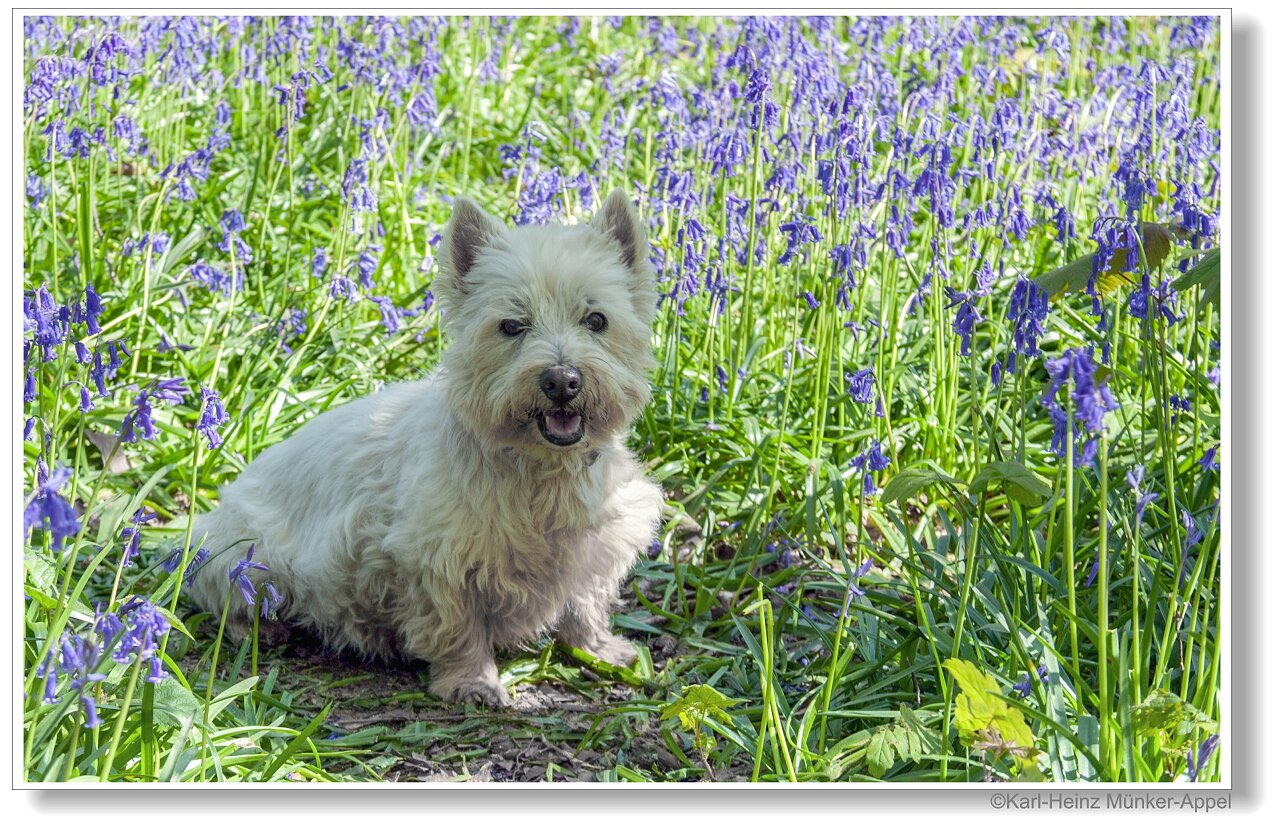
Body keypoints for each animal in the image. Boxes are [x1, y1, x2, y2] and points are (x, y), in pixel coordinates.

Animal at [189, 190, 670, 706]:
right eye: (512, 326)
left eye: (596, 319)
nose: (561, 380)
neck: (539, 469)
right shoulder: (434, 557)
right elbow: (457, 625)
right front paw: (472, 681)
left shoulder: (595, 548)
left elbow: (585, 602)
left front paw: (599, 649)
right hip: (246, 557)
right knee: (228, 602)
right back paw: (267, 628)